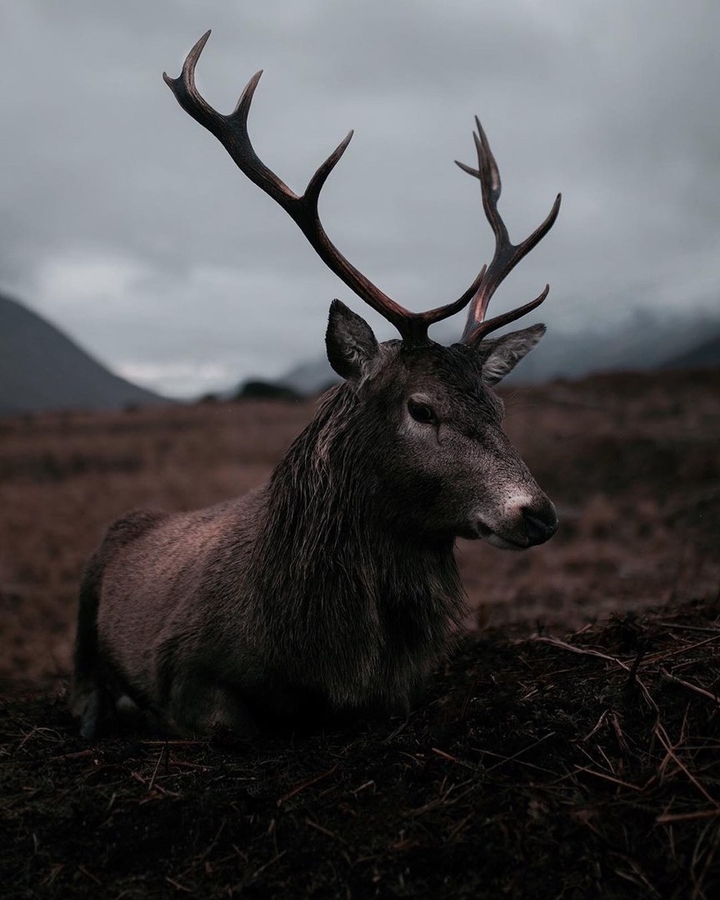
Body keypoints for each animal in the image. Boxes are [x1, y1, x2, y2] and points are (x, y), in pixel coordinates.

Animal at [70, 31, 562, 739]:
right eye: (421, 408)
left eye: (497, 405)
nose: (539, 512)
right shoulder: (187, 672)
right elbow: (230, 720)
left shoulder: (405, 689)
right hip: (85, 591)